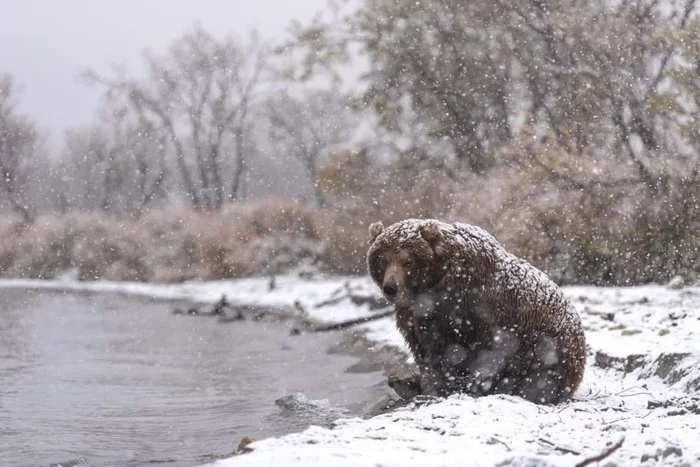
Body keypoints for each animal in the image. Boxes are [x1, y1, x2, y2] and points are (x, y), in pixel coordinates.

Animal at [366, 219, 584, 406]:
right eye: (383, 260)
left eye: (407, 261)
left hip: (541, 343)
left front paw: (437, 387)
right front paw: (416, 381)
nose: (390, 288)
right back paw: (404, 382)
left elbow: (449, 348)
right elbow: (420, 347)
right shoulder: (411, 314)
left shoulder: (458, 305)